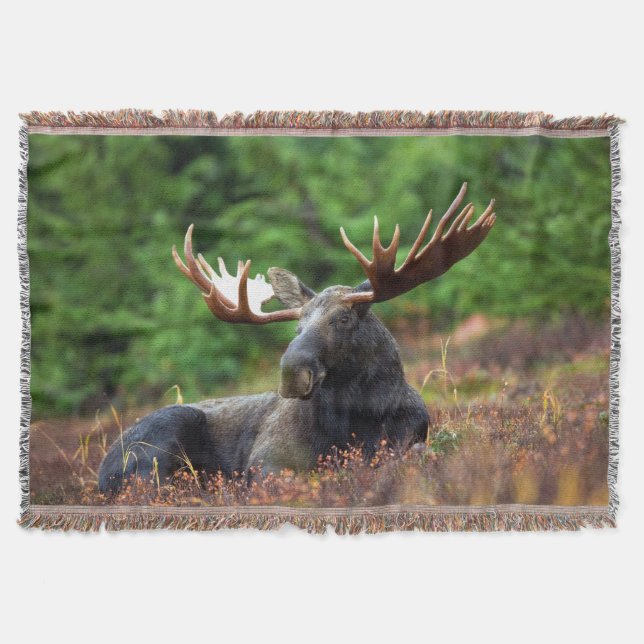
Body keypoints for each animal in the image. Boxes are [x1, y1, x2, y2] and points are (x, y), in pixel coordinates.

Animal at [98, 183, 496, 494]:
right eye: (297, 327)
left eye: (343, 318)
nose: (292, 373)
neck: (360, 420)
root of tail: (102, 471)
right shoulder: (266, 460)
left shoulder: (411, 438)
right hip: (166, 432)